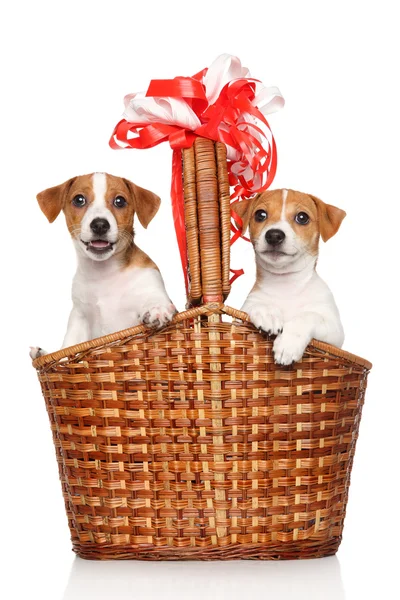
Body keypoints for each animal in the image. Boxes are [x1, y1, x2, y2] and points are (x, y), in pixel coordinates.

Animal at [28, 171, 176, 358]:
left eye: (120, 201)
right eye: (79, 200)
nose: (99, 225)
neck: (104, 273)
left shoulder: (151, 282)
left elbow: (155, 298)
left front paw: (157, 309)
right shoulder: (79, 317)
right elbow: (68, 347)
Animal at [236, 188, 346, 366]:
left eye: (302, 217)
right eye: (260, 215)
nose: (274, 235)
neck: (285, 283)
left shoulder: (335, 334)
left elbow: (308, 316)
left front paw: (288, 345)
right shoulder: (243, 313)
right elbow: (256, 305)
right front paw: (268, 313)